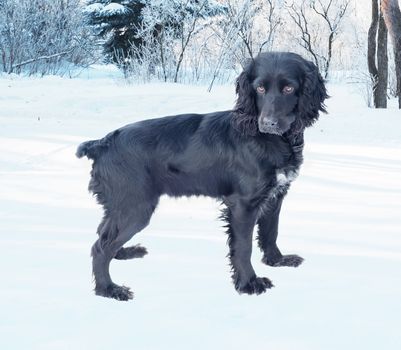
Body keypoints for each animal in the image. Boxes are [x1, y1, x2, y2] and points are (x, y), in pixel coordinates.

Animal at [76, 51, 326, 300]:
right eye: (260, 88)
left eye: (289, 88)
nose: (268, 123)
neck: (268, 139)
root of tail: (102, 143)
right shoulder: (243, 204)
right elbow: (243, 247)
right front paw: (249, 283)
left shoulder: (275, 196)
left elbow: (270, 232)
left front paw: (277, 260)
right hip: (135, 208)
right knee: (99, 247)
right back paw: (109, 289)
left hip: (122, 206)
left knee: (102, 234)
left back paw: (124, 253)